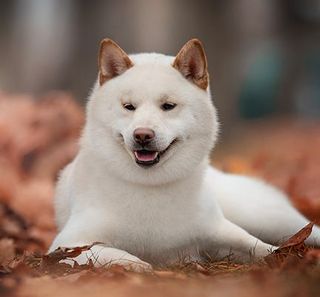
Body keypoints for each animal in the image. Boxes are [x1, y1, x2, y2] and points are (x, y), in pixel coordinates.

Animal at [49, 37, 320, 270]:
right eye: (128, 107)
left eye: (168, 106)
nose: (142, 135)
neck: (150, 187)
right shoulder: (68, 243)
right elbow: (111, 254)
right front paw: (136, 265)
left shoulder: (218, 229)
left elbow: (260, 247)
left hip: (263, 217)